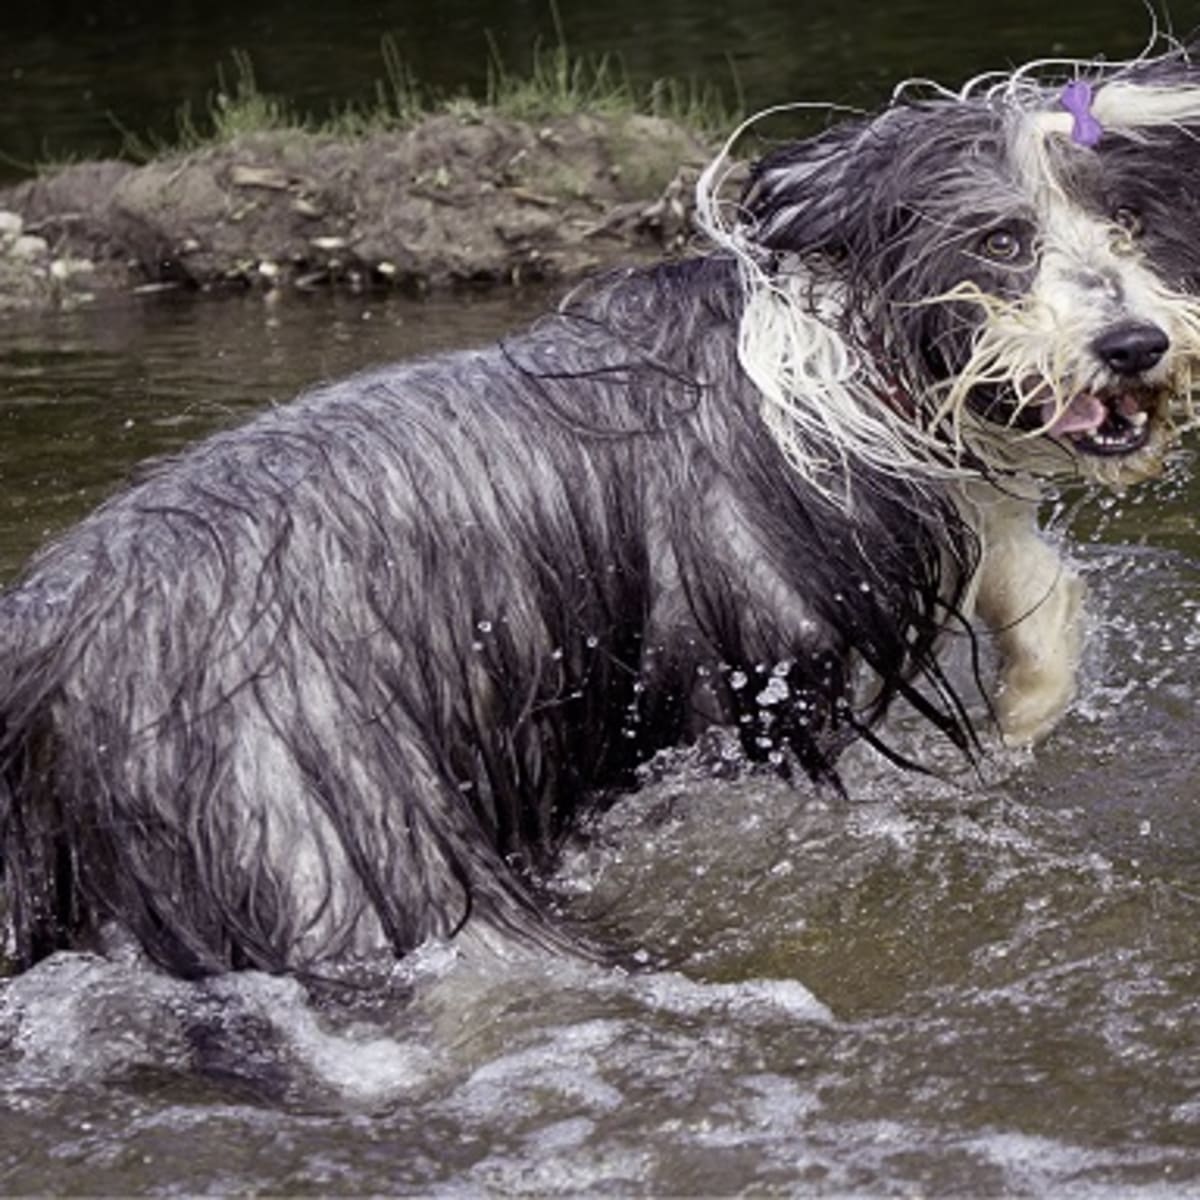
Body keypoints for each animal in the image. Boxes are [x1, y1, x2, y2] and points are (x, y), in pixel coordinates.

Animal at [2, 51, 1200, 979]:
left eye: (1128, 223)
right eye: (999, 242)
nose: (1135, 344)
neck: (833, 361)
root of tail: (54, 645)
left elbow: (1029, 580)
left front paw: (1025, 712)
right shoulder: (754, 655)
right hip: (321, 833)